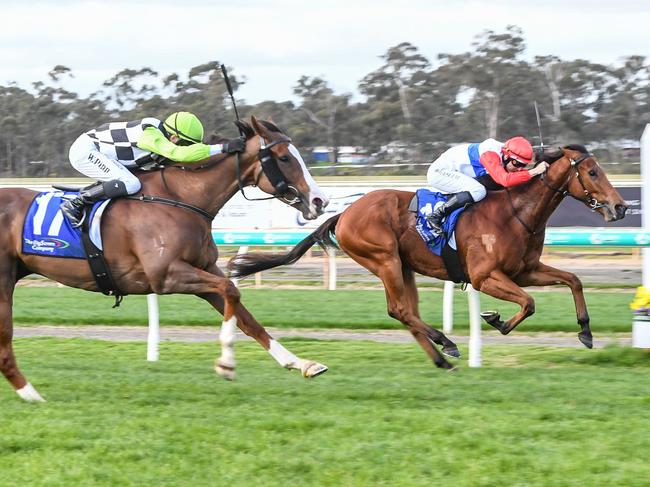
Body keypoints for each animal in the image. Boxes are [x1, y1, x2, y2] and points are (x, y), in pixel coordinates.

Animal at [1, 116, 330, 402]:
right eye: (284, 158)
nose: (320, 201)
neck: (181, 198)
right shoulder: (166, 275)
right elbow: (232, 291)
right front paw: (226, 363)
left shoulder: (204, 270)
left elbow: (245, 315)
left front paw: (301, 363)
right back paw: (31, 394)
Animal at [229, 145, 628, 370]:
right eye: (592, 171)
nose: (620, 207)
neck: (517, 212)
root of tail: (344, 213)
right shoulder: (486, 276)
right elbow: (528, 303)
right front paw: (495, 319)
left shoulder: (525, 270)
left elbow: (573, 280)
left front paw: (586, 332)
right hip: (385, 259)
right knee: (399, 310)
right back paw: (446, 344)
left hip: (404, 267)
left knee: (406, 312)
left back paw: (440, 358)